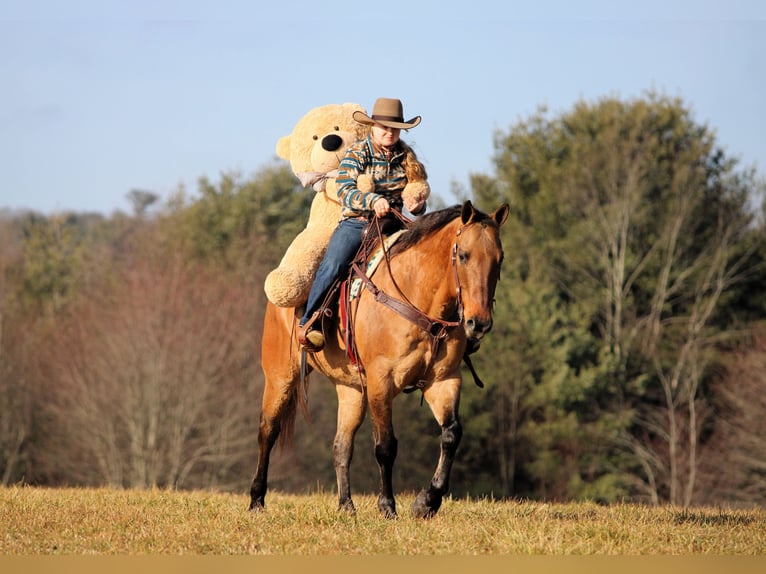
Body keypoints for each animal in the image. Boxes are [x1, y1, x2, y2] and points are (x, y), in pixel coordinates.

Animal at [248, 200, 509, 519]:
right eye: (463, 255)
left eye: (499, 258)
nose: (479, 323)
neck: (416, 296)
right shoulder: (381, 382)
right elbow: (385, 446)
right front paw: (387, 505)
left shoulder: (443, 380)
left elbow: (451, 434)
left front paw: (427, 501)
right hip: (280, 377)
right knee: (267, 431)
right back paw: (256, 500)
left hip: (351, 390)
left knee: (341, 445)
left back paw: (346, 505)